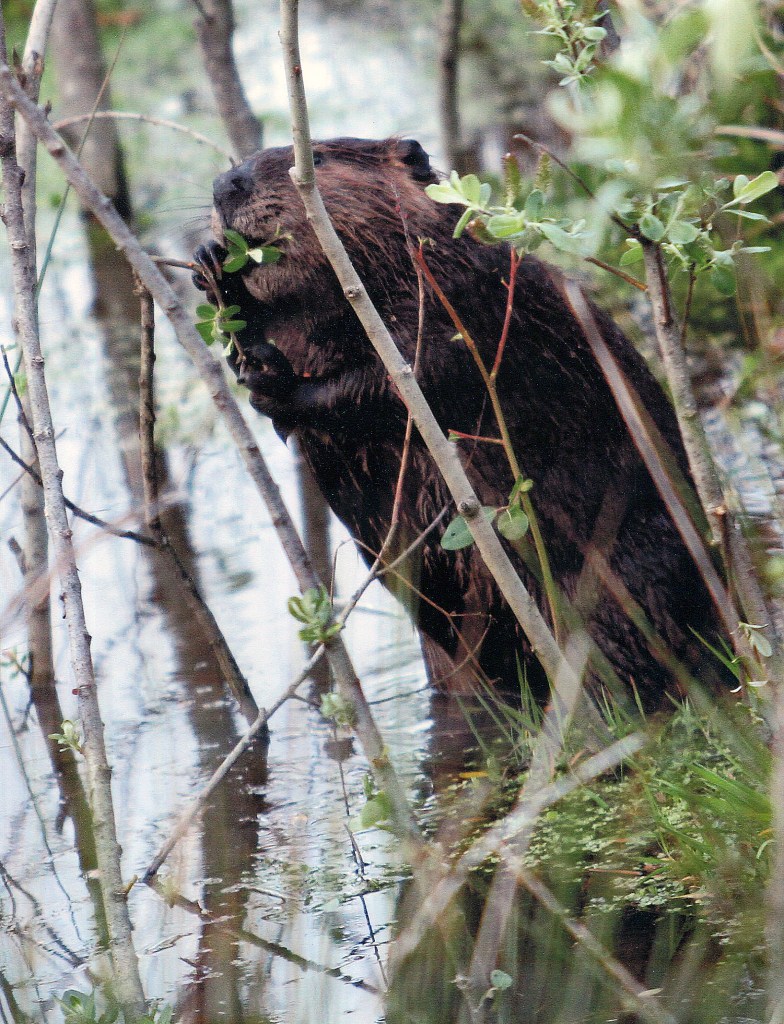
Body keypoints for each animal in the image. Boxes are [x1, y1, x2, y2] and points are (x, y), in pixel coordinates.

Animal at [193, 136, 727, 708]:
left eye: (315, 157)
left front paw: (279, 385)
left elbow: (404, 378)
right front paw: (212, 270)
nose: (225, 184)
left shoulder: (463, 301)